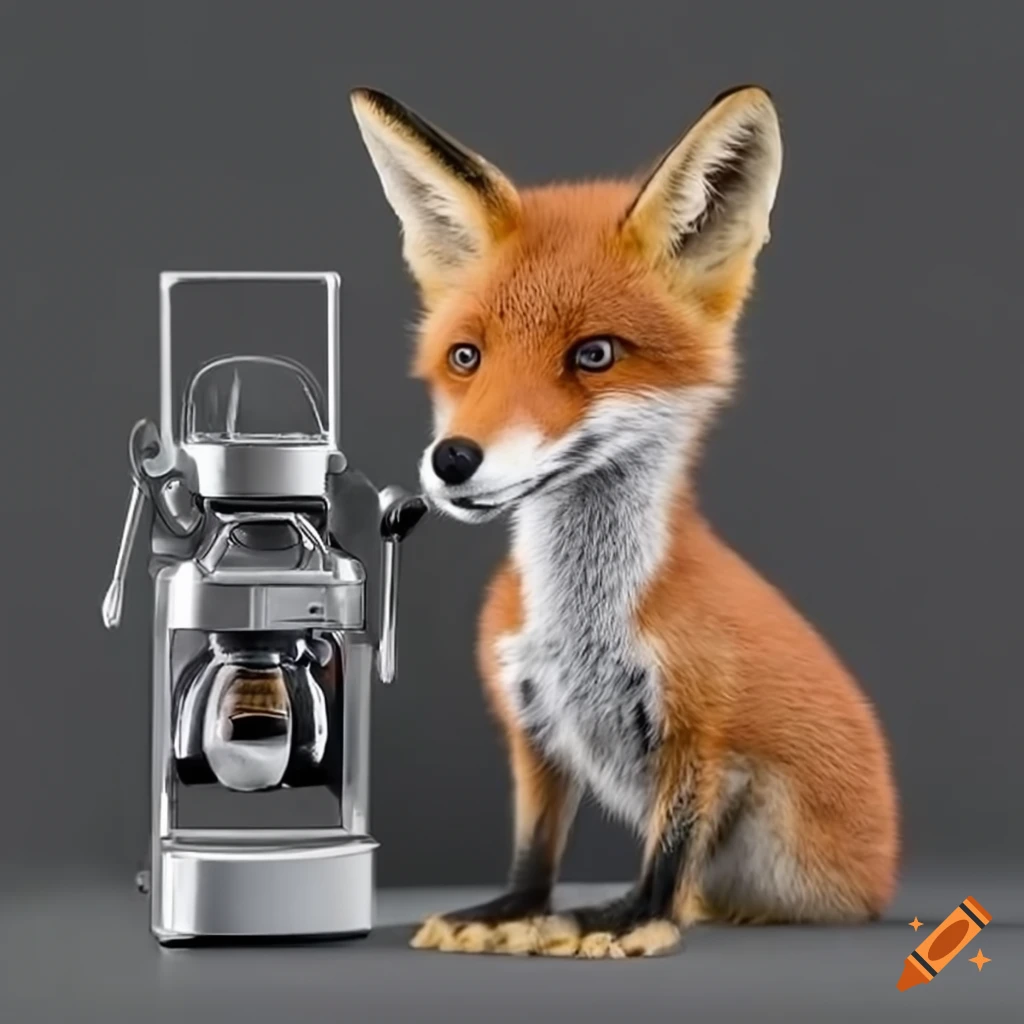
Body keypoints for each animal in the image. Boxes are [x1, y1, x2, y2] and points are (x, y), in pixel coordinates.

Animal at [350, 81, 897, 958]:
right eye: (466, 357)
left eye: (594, 355)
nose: (453, 460)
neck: (584, 626)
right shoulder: (533, 722)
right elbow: (535, 844)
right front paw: (511, 911)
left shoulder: (706, 738)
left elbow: (671, 845)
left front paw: (634, 917)